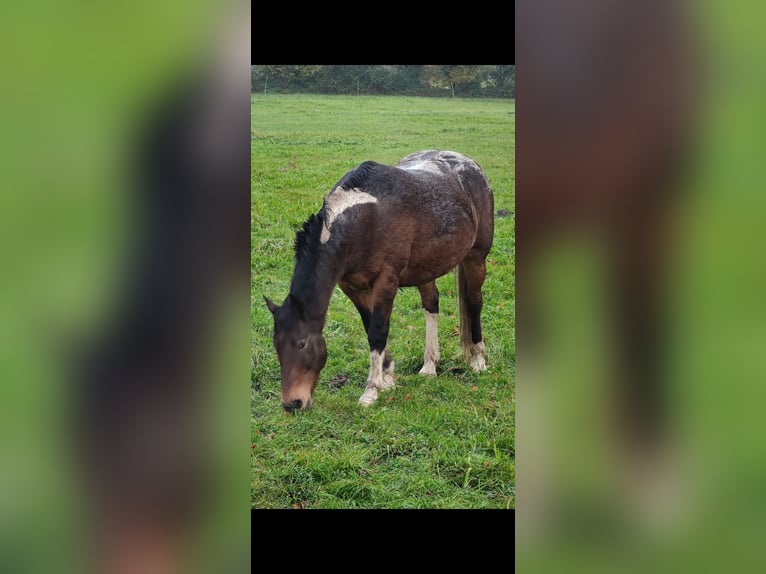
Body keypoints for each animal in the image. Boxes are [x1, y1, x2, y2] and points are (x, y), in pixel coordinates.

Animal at [264, 150, 494, 412]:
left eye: (301, 343)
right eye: (276, 345)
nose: (292, 403)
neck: (366, 220)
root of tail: (470, 163)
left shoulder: (386, 283)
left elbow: (377, 332)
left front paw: (372, 390)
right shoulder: (352, 288)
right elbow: (369, 327)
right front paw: (388, 376)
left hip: (476, 258)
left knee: (474, 302)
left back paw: (478, 359)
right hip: (426, 267)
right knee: (431, 305)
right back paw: (429, 365)